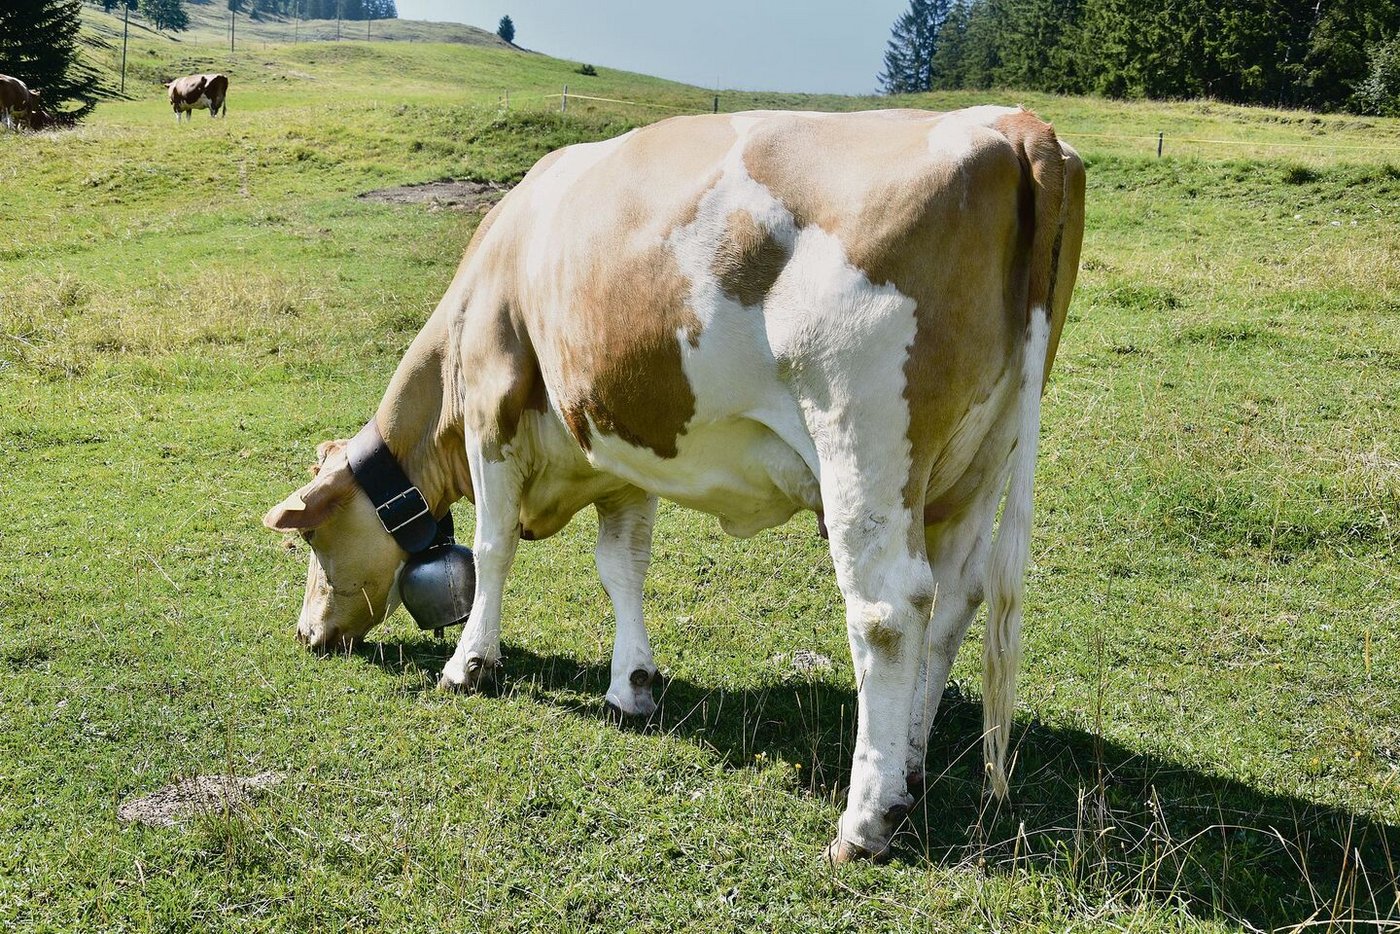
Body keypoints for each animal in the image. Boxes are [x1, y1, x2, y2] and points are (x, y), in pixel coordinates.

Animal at [263, 106, 1085, 862]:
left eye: (312, 538)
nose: (306, 633)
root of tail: (1011, 124)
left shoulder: (492, 411)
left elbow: (495, 550)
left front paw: (469, 664)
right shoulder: (622, 449)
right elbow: (623, 566)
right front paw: (631, 685)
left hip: (868, 441)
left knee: (889, 611)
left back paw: (866, 818)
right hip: (977, 464)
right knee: (953, 601)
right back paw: (910, 768)